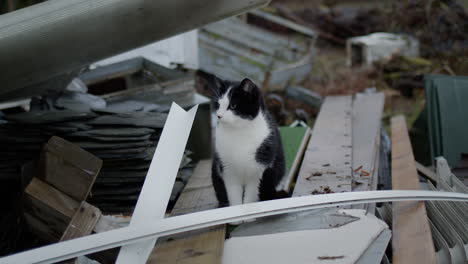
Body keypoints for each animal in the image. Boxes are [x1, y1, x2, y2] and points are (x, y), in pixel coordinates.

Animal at [197, 71, 286, 211]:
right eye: (219, 105)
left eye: (233, 106)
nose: (219, 115)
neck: (239, 132)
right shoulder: (227, 170)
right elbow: (233, 194)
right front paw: (236, 212)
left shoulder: (259, 169)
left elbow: (251, 195)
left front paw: (249, 213)